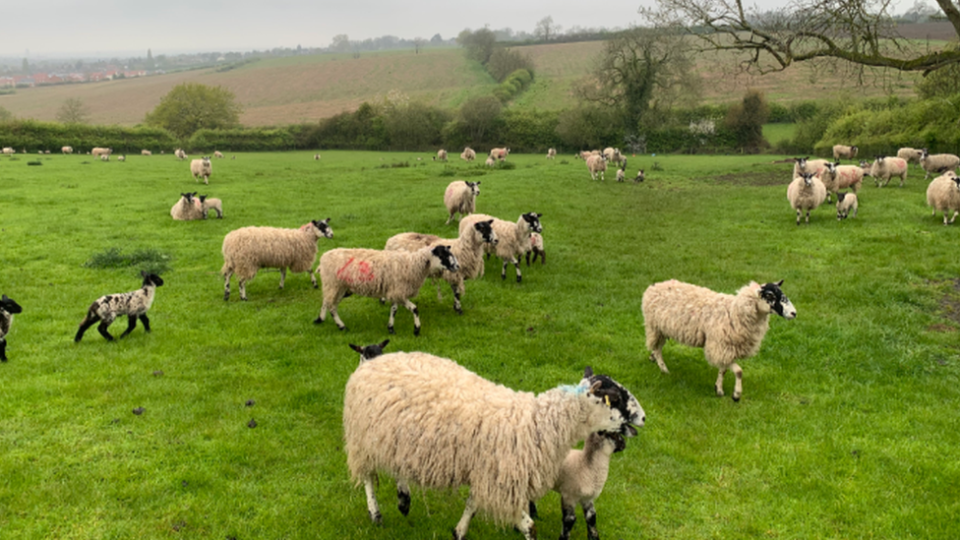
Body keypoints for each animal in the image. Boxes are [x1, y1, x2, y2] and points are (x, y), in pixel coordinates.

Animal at [314, 244, 460, 336]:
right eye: (443, 255)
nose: (457, 266)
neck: (413, 264)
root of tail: (323, 258)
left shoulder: (395, 291)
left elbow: (394, 310)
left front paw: (391, 329)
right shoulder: (399, 292)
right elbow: (415, 309)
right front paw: (416, 329)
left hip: (338, 287)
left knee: (326, 301)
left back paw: (320, 319)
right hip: (334, 284)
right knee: (331, 306)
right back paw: (341, 326)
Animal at [344, 354, 644, 540]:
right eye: (616, 397)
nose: (643, 417)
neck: (538, 423)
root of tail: (372, 361)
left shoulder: (490, 474)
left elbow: (472, 504)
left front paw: (459, 531)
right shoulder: (501, 481)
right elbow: (530, 526)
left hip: (397, 439)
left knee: (399, 467)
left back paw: (403, 499)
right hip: (363, 439)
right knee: (368, 477)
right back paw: (376, 513)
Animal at [640, 278, 800, 400]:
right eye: (771, 296)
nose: (794, 313)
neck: (735, 311)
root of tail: (654, 285)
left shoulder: (726, 347)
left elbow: (723, 370)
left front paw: (719, 389)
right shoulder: (719, 346)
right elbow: (739, 371)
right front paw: (736, 395)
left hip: (662, 329)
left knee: (657, 347)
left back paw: (653, 358)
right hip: (654, 327)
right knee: (657, 348)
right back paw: (664, 369)